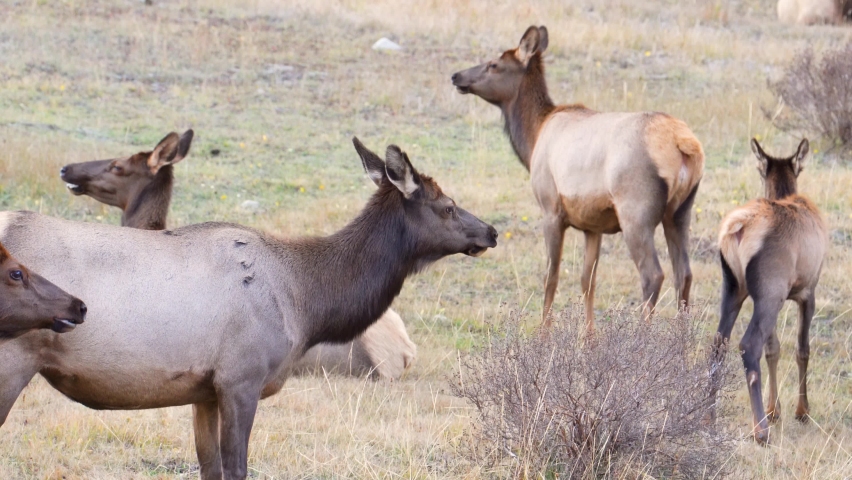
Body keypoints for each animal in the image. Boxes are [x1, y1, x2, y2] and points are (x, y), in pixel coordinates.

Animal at [451, 26, 704, 331]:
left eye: (493, 64)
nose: (456, 76)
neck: (533, 137)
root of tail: (684, 145)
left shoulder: (550, 209)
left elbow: (551, 276)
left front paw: (543, 332)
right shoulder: (592, 225)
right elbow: (588, 281)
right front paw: (588, 336)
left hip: (636, 211)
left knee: (653, 274)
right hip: (680, 212)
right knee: (684, 273)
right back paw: (682, 338)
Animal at [711, 138, 827, 445]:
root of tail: (737, 229)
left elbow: (773, 349)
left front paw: (776, 410)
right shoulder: (807, 291)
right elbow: (802, 349)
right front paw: (801, 410)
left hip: (735, 288)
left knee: (719, 342)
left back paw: (707, 415)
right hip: (770, 292)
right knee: (748, 345)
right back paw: (760, 430)